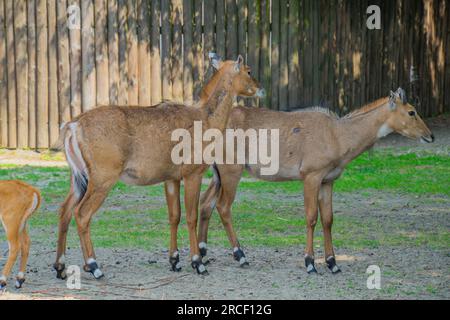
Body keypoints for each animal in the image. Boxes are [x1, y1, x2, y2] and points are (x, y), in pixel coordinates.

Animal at [52, 53, 264, 278]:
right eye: (248, 70)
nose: (261, 88)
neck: (205, 119)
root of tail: (73, 125)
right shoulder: (192, 174)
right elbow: (191, 216)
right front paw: (198, 263)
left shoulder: (171, 179)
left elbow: (174, 216)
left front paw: (175, 261)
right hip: (102, 179)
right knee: (81, 214)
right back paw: (94, 266)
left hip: (79, 179)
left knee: (64, 210)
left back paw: (60, 266)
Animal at [199, 88, 434, 276]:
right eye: (411, 112)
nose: (430, 136)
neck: (338, 134)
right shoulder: (311, 177)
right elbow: (311, 217)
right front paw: (310, 263)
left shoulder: (327, 181)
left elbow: (328, 220)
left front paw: (333, 263)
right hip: (231, 171)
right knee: (223, 206)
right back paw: (240, 256)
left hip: (217, 175)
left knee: (205, 203)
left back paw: (202, 256)